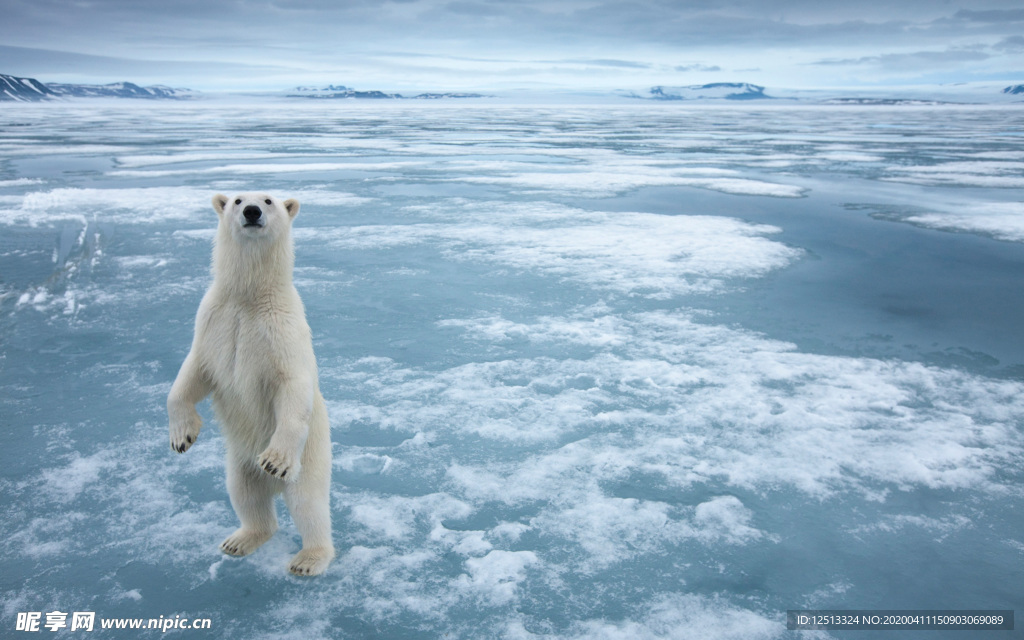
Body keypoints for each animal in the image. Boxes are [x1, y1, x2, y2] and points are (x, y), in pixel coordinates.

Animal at [167, 192, 333, 577]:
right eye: (237, 199)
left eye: (269, 200)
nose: (252, 211)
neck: (249, 297)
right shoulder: (213, 321)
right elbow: (192, 374)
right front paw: (182, 436)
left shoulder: (282, 330)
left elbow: (292, 385)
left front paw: (274, 459)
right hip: (239, 462)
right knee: (245, 495)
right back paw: (240, 540)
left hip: (311, 457)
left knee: (308, 504)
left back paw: (308, 558)